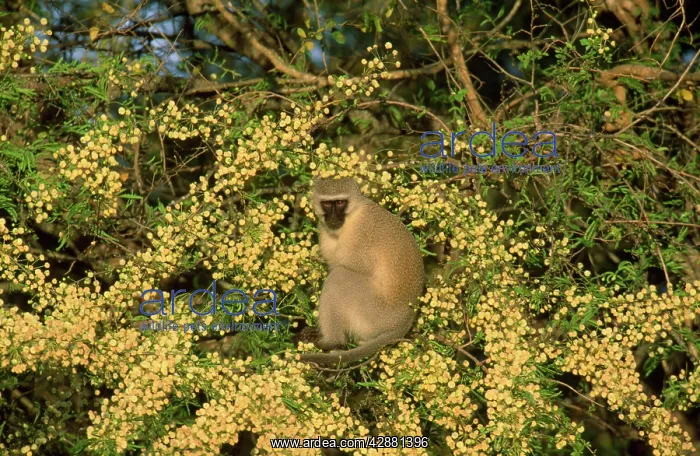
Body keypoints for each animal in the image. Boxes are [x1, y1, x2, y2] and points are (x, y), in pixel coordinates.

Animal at [300, 176, 425, 366]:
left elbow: (356, 266)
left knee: (339, 276)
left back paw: (333, 342)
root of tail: (405, 322)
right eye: (327, 204)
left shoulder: (361, 233)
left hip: (374, 316)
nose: (333, 217)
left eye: (340, 202)